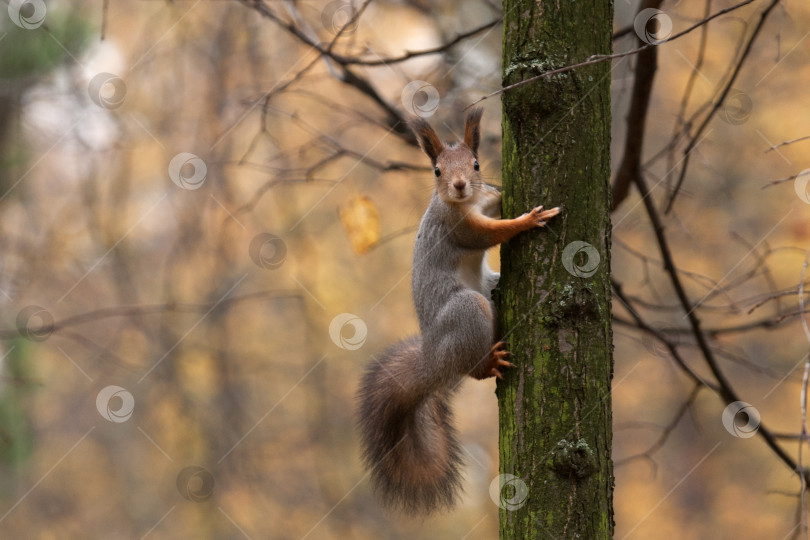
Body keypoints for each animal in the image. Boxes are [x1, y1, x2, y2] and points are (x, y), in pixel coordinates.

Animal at [356, 106, 560, 516]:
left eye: (477, 163)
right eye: (436, 171)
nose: (461, 185)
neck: (467, 204)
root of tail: (434, 358)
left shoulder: (486, 200)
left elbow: (496, 200)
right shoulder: (460, 227)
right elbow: (492, 233)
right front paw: (528, 220)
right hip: (467, 311)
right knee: (472, 367)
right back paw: (489, 363)